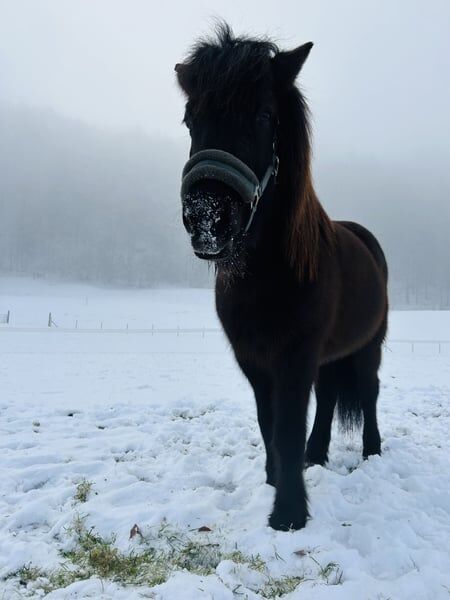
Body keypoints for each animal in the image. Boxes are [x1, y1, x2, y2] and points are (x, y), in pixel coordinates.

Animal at [175, 22, 386, 528]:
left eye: (264, 115)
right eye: (190, 118)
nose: (208, 218)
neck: (266, 276)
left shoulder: (295, 356)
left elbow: (288, 424)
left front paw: (289, 513)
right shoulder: (253, 359)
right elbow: (268, 422)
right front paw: (276, 481)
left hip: (368, 347)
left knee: (369, 393)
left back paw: (371, 452)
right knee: (329, 397)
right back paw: (317, 455)